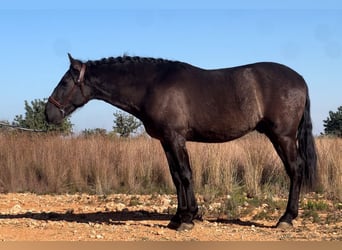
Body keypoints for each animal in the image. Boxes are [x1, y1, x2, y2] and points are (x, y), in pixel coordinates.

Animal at [46, 53, 318, 231]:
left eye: (64, 82)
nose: (49, 113)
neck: (152, 85)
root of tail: (300, 80)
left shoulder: (176, 137)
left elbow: (186, 174)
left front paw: (187, 220)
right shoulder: (166, 141)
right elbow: (176, 177)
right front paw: (179, 216)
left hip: (282, 136)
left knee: (295, 170)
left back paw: (286, 219)